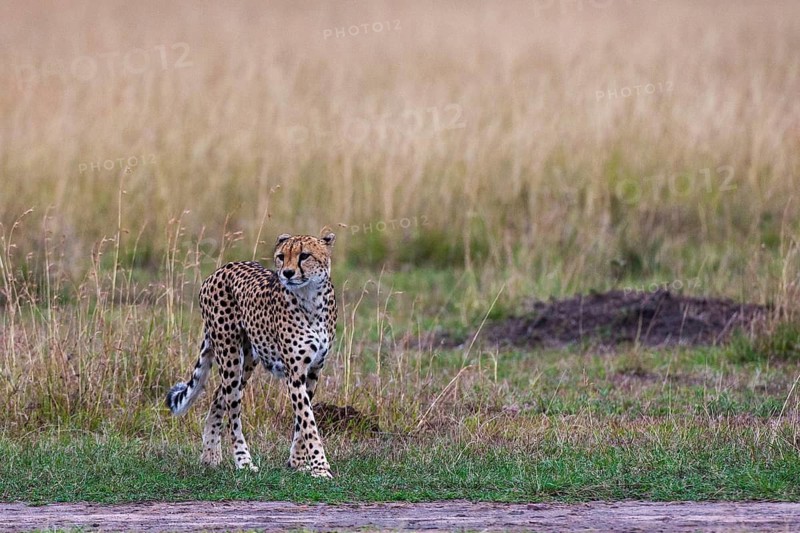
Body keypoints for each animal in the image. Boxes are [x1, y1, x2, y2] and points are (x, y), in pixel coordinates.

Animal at [165, 230, 337, 478]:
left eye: (304, 255)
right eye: (281, 256)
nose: (287, 273)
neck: (311, 298)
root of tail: (222, 268)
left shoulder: (313, 370)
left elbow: (302, 421)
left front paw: (297, 463)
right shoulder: (295, 372)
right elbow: (308, 421)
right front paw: (320, 468)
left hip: (247, 360)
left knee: (218, 396)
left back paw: (210, 456)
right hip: (229, 354)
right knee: (232, 410)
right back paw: (243, 460)